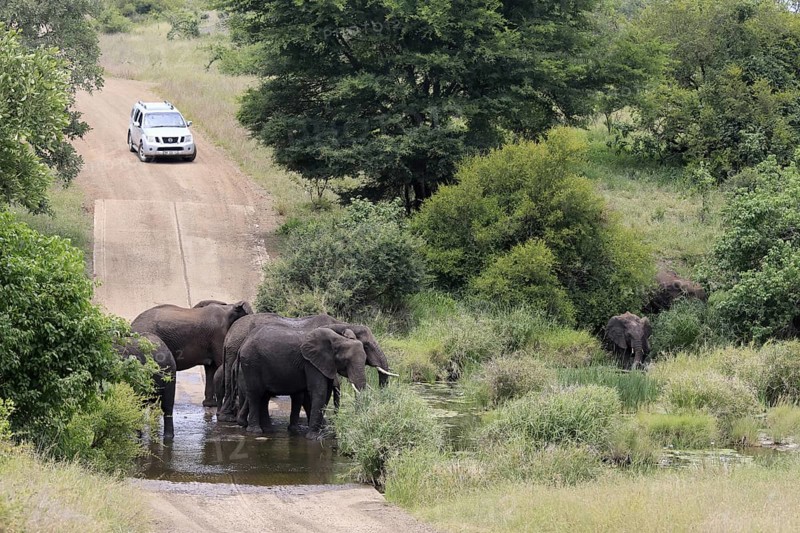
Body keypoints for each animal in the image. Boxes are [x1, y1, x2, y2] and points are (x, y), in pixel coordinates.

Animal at [239, 325, 369, 438]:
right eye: (346, 361)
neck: (339, 339)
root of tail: (244, 342)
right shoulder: (310, 362)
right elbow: (319, 392)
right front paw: (314, 437)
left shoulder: (325, 363)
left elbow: (325, 393)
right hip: (251, 362)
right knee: (256, 394)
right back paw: (255, 431)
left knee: (265, 396)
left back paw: (268, 430)